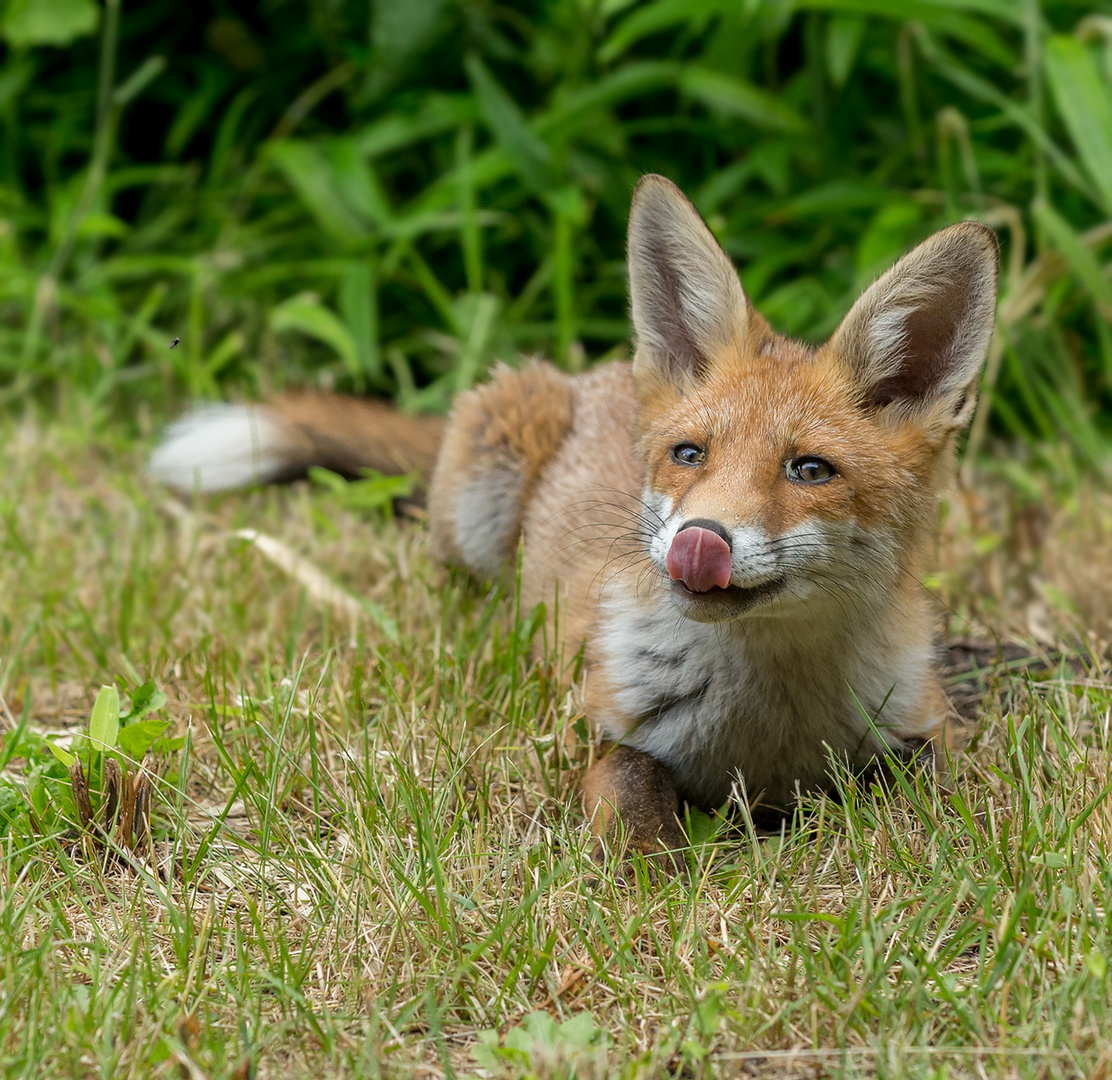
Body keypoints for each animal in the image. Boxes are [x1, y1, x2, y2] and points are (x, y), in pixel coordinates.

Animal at [150, 175, 1000, 863]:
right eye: (689, 454)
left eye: (811, 470)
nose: (700, 542)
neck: (766, 726)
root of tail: (593, 371)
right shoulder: (593, 729)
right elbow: (630, 788)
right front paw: (649, 873)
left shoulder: (927, 725)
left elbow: (947, 785)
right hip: (483, 484)